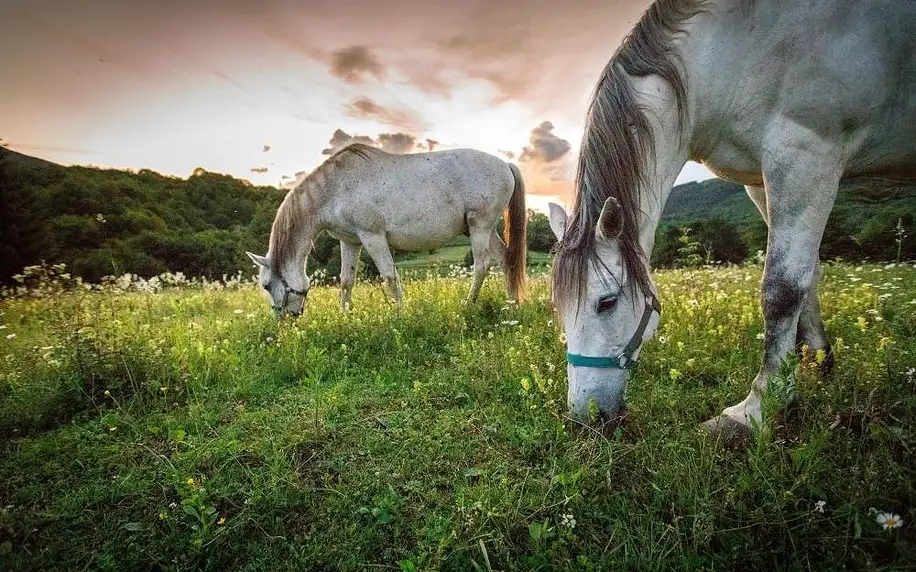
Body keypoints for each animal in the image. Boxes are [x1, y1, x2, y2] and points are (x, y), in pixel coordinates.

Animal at [247, 142, 524, 312]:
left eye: (266, 285)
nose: (284, 320)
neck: (335, 188)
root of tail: (505, 165)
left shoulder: (373, 237)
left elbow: (390, 275)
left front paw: (401, 314)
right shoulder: (349, 241)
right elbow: (346, 281)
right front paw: (344, 316)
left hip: (480, 228)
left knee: (481, 266)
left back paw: (468, 304)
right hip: (486, 231)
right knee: (505, 259)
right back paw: (511, 304)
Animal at [548, 0, 912, 442]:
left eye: (606, 302)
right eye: (558, 307)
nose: (586, 418)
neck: (730, 53)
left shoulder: (807, 154)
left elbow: (782, 288)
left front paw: (757, 409)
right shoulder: (760, 181)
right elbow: (808, 275)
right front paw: (816, 362)